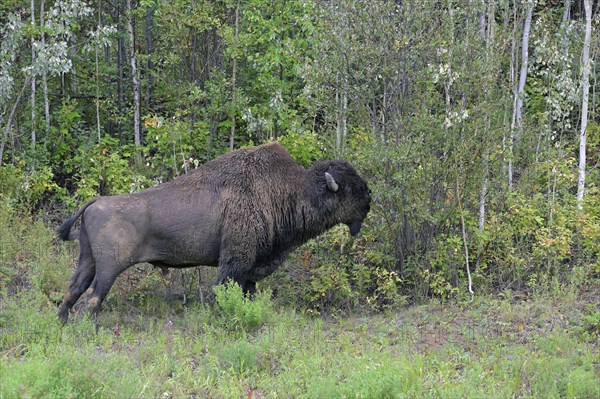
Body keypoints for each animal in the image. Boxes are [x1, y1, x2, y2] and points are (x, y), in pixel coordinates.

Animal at [56, 142, 370, 324]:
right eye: (351, 188)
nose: (369, 201)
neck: (288, 191)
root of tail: (95, 202)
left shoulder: (249, 269)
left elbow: (247, 292)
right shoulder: (235, 262)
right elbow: (223, 289)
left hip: (87, 260)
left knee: (73, 290)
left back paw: (62, 324)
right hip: (109, 268)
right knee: (93, 297)